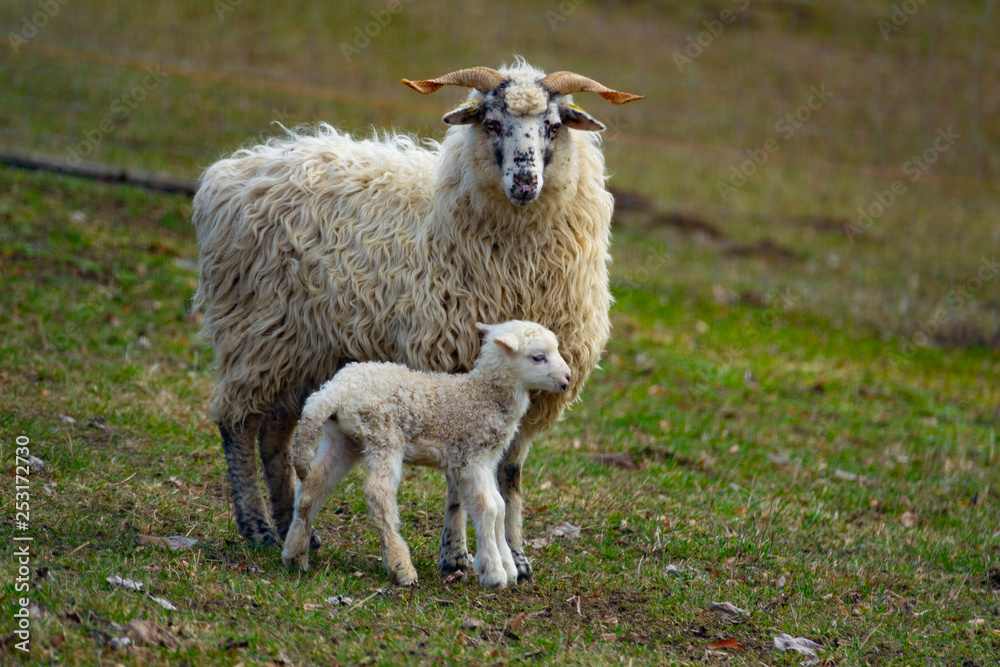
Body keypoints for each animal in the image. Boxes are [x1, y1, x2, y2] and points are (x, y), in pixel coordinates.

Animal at [281, 320, 572, 588]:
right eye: (538, 357)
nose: (568, 378)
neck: (483, 395)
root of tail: (333, 391)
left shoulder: (485, 461)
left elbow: (499, 507)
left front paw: (508, 568)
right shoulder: (470, 459)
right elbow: (488, 509)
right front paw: (494, 573)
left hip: (343, 438)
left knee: (312, 487)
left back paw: (295, 556)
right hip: (383, 434)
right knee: (378, 495)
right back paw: (401, 567)